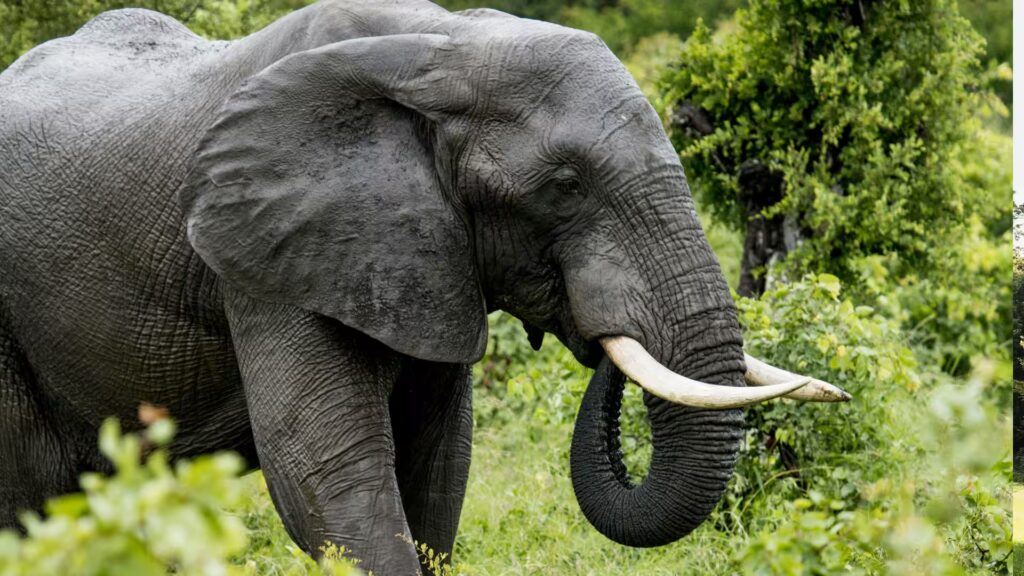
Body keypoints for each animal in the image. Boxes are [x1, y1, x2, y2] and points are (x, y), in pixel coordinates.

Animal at [0, 1, 850, 573]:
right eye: (567, 187)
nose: (600, 323)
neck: (442, 46)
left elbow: (439, 465)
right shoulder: (264, 256)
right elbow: (323, 468)